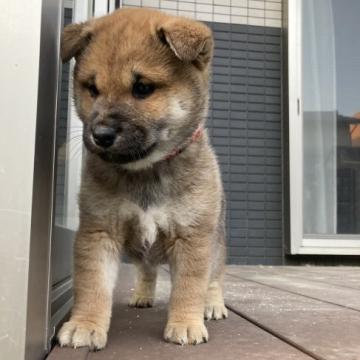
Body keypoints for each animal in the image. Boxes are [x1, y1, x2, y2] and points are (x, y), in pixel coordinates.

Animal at [58, 8, 228, 350]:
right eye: (92, 88)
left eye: (142, 88)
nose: (101, 135)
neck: (146, 171)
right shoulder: (99, 231)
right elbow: (92, 284)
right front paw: (85, 325)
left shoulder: (192, 238)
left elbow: (189, 287)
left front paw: (186, 323)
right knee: (147, 269)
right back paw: (142, 295)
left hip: (215, 243)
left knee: (214, 279)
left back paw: (213, 304)